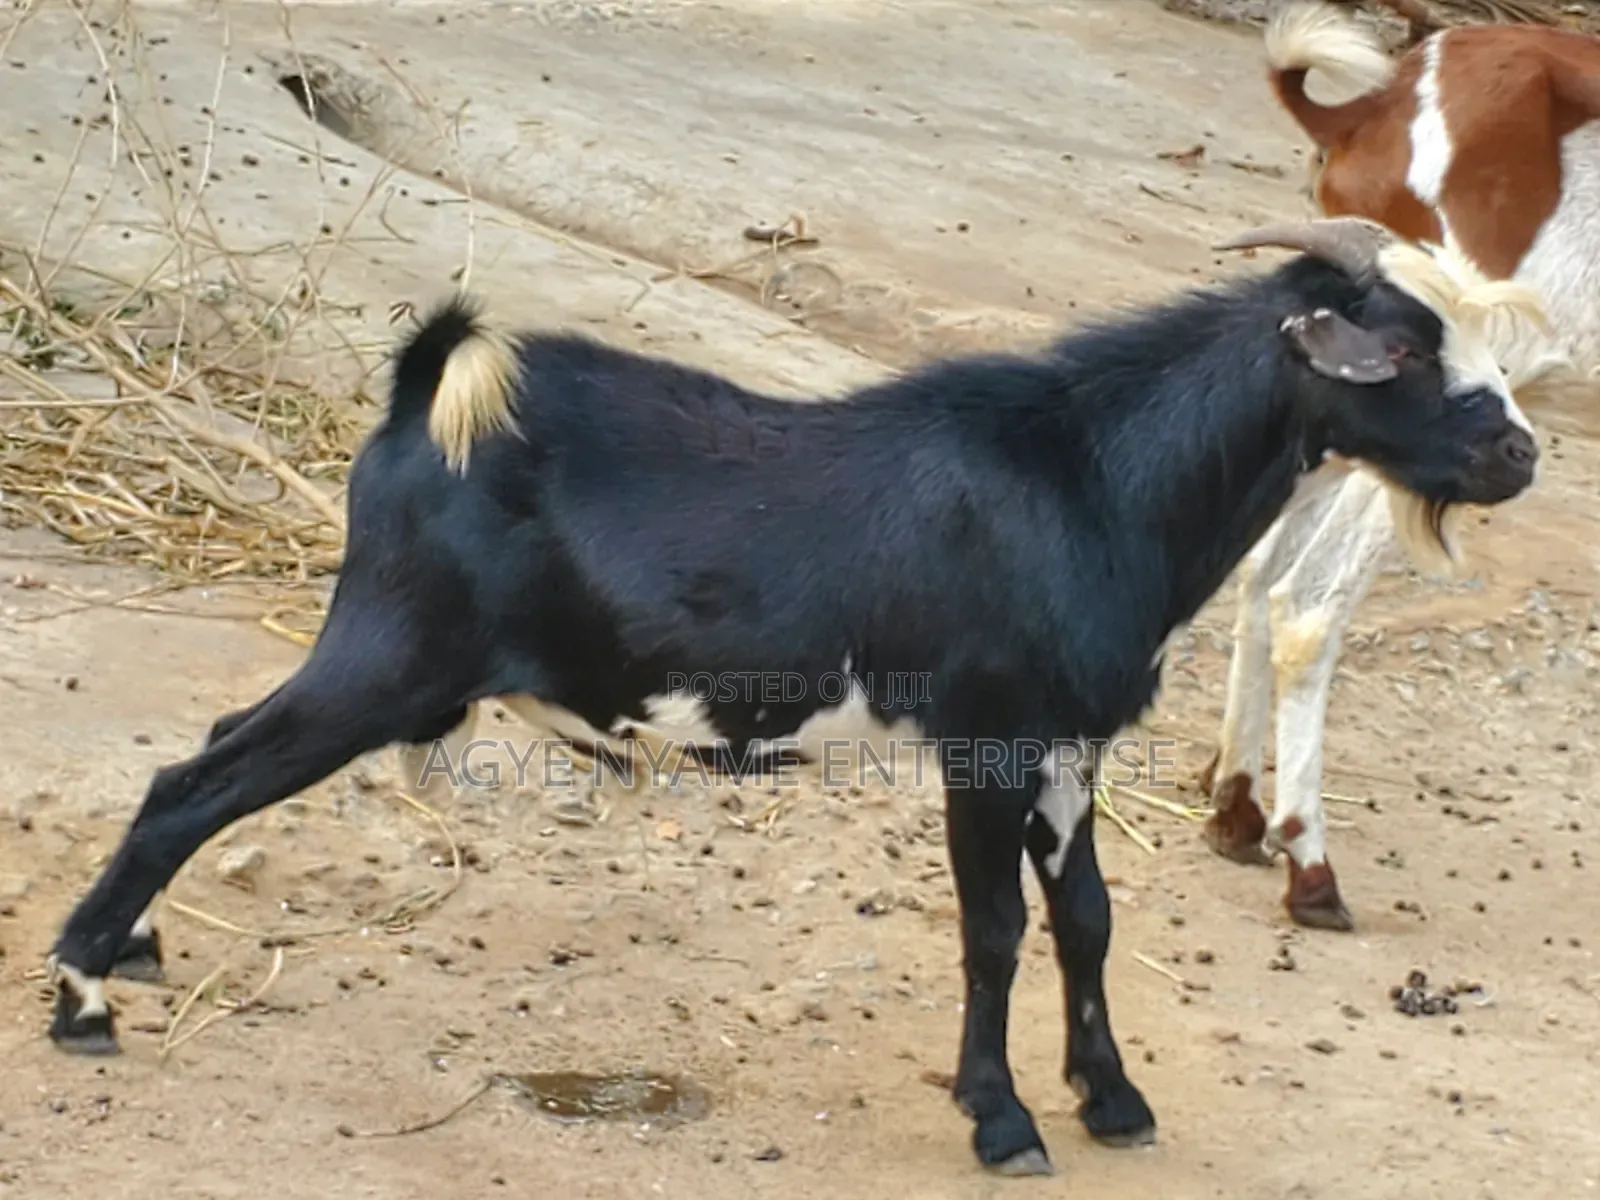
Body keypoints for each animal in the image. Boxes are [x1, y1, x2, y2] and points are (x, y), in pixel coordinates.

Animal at [44, 217, 1541, 1176]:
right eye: (1404, 355)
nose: (1521, 455)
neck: (1089, 479)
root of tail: (424, 409)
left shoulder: (1071, 743)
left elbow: (1089, 923)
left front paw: (1112, 1099)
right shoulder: (985, 739)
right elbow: (996, 930)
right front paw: (1004, 1124)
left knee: (212, 758)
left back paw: (130, 954)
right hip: (389, 655)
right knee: (190, 783)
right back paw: (83, 1000)